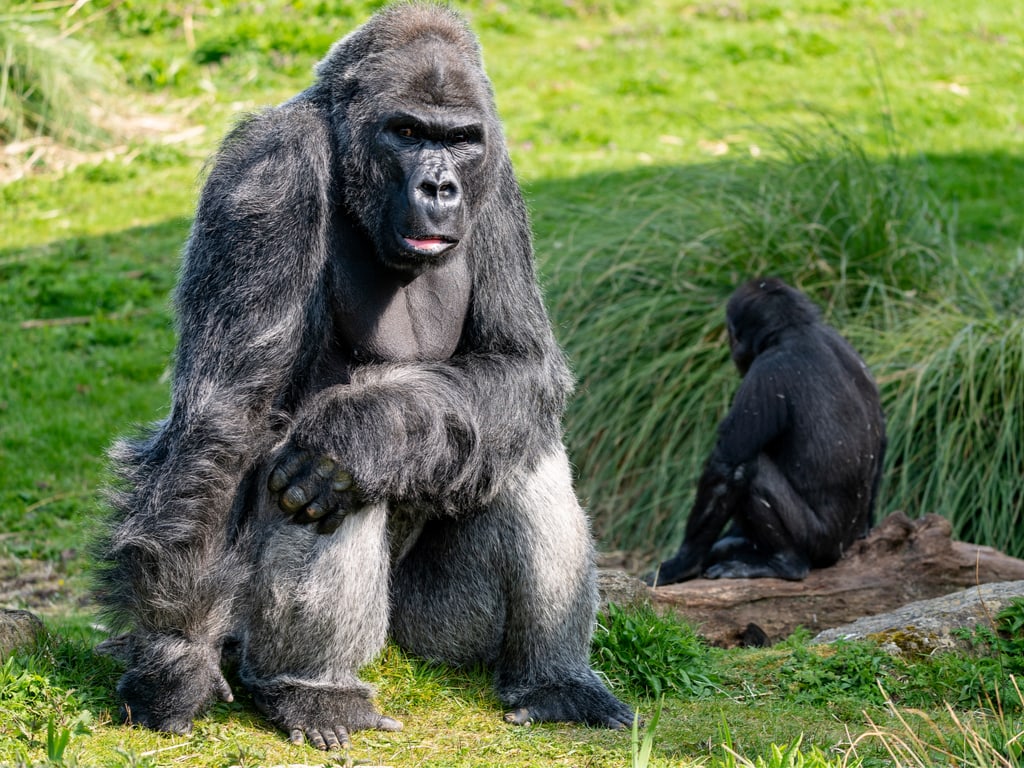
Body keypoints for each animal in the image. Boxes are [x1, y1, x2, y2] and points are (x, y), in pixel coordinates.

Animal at [99, 4, 634, 753]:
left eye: (459, 140)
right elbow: (228, 419)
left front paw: (365, 430)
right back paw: (313, 690)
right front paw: (173, 664)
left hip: (429, 635)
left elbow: (519, 364)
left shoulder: (498, 185)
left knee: (512, 440)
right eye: (407, 133)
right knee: (311, 481)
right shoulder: (269, 173)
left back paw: (553, 681)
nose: (439, 185)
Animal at [651, 280, 884, 585]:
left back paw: (786, 563)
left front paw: (683, 562)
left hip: (819, 542)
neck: (794, 329)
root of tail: (841, 549)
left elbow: (728, 466)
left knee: (751, 468)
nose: (732, 345)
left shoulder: (766, 373)